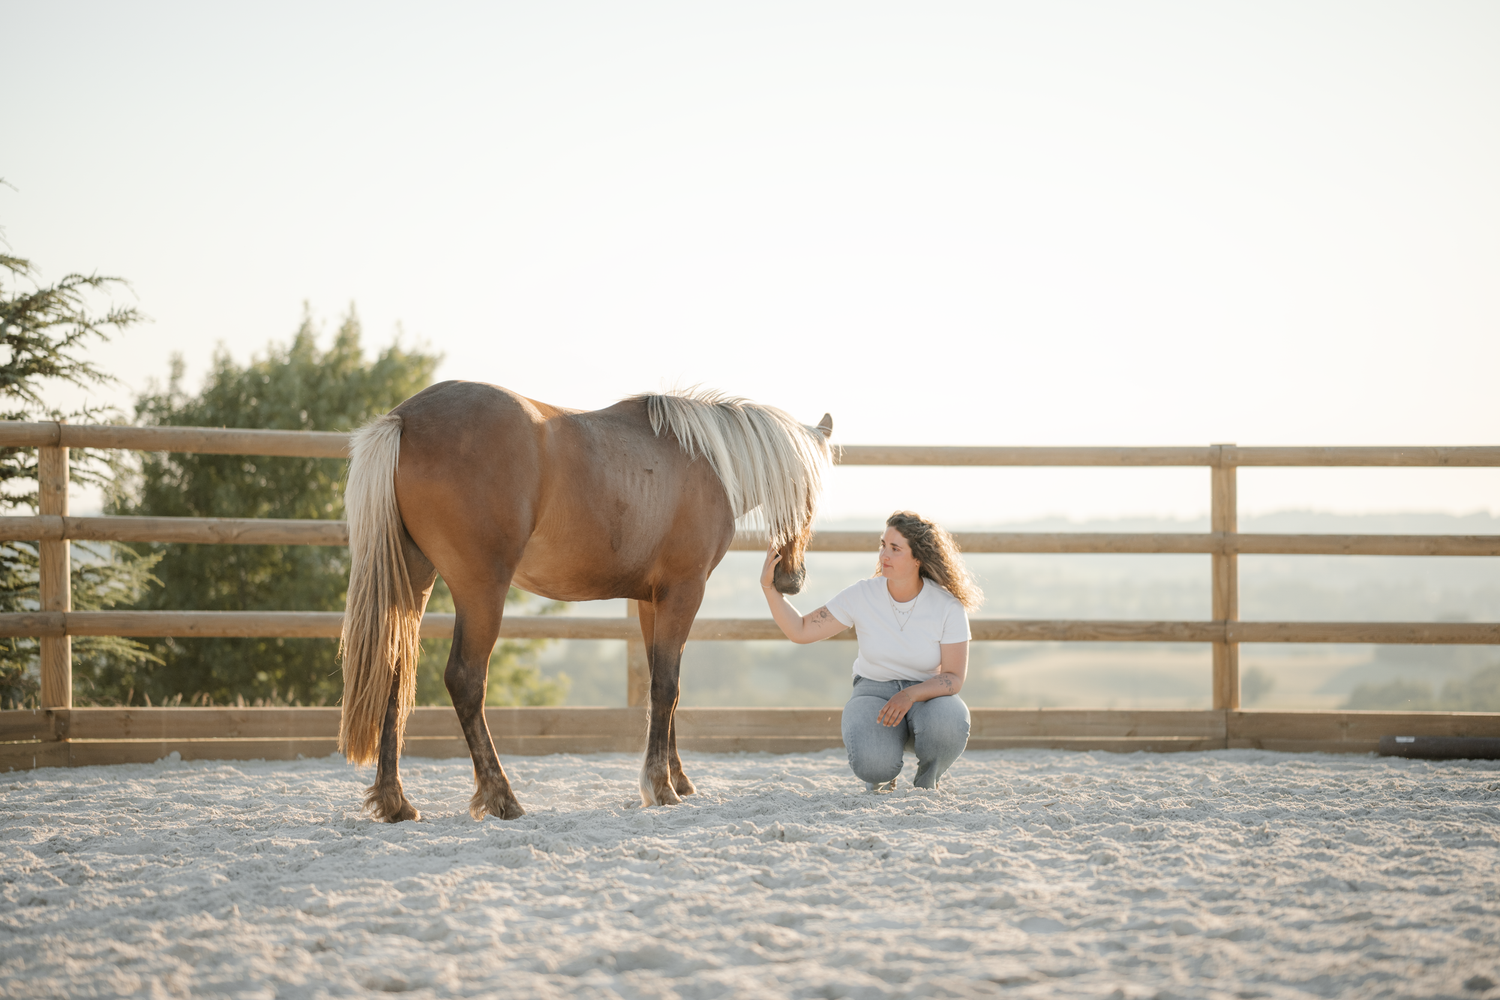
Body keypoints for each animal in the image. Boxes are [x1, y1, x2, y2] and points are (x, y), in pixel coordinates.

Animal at [337, 381, 833, 822]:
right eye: (808, 491)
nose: (790, 580)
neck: (705, 460)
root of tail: (405, 418)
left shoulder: (653, 602)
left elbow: (661, 685)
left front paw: (677, 778)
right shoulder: (683, 592)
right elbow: (666, 687)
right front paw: (661, 787)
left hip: (413, 580)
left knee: (392, 671)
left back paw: (395, 801)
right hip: (481, 590)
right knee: (465, 680)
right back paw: (502, 797)